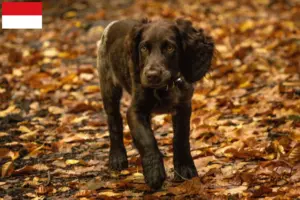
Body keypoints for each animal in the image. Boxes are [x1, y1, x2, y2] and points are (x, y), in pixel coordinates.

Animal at [97, 18, 214, 189]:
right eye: (144, 48)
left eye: (170, 48)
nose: (152, 75)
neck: (164, 89)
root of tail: (115, 22)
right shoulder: (135, 111)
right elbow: (147, 139)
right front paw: (154, 174)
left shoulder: (183, 106)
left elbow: (181, 138)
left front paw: (185, 170)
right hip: (108, 86)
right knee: (114, 121)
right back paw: (117, 157)